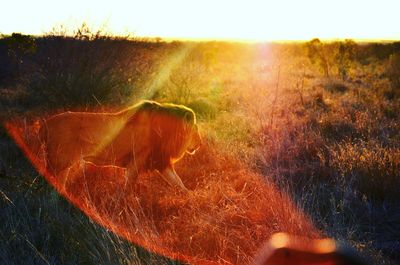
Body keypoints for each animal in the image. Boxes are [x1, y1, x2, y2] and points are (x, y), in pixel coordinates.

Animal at [39, 100, 202, 191]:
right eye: (195, 130)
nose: (200, 144)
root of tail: (46, 123)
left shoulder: (160, 161)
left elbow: (179, 183)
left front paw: (190, 199)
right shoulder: (137, 160)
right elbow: (128, 187)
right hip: (58, 162)